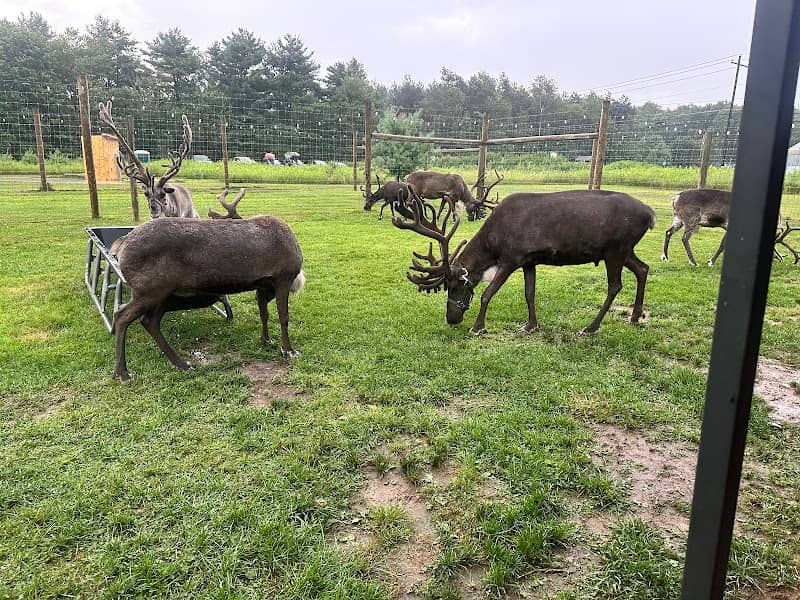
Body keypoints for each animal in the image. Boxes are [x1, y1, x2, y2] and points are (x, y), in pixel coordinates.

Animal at [109, 215, 305, 382]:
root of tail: (121, 245)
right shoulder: (283, 278)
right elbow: (284, 317)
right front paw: (289, 350)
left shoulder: (263, 285)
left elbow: (264, 314)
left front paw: (266, 339)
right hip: (150, 291)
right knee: (122, 316)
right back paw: (123, 373)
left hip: (164, 294)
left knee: (149, 321)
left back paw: (181, 364)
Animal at [392, 190, 655, 335]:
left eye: (455, 285)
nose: (452, 319)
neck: (493, 242)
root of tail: (650, 214)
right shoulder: (530, 260)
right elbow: (530, 293)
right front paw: (531, 326)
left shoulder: (511, 258)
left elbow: (487, 293)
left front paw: (478, 327)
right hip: (625, 250)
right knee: (643, 269)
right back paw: (635, 316)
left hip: (614, 250)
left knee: (615, 286)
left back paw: (590, 328)